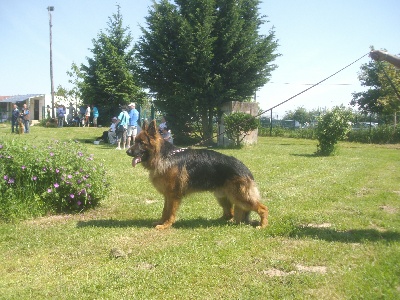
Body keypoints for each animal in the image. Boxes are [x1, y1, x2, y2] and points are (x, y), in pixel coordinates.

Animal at [126, 119, 268, 230]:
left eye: (141, 143)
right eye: (135, 141)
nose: (127, 152)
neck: (164, 156)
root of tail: (245, 169)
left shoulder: (173, 196)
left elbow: (170, 212)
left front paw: (166, 225)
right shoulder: (168, 195)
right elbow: (164, 211)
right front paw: (161, 222)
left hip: (240, 197)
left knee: (263, 208)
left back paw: (263, 225)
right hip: (222, 196)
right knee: (230, 214)